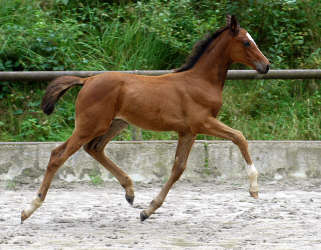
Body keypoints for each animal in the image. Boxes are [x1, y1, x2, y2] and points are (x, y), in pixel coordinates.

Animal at [21, 15, 268, 223]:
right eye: (246, 43)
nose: (266, 66)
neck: (200, 81)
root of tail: (87, 80)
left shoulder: (188, 131)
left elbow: (178, 168)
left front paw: (147, 210)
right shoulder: (203, 123)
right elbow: (239, 137)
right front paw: (254, 188)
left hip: (114, 124)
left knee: (94, 148)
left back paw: (130, 192)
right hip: (89, 125)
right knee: (58, 155)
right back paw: (29, 209)